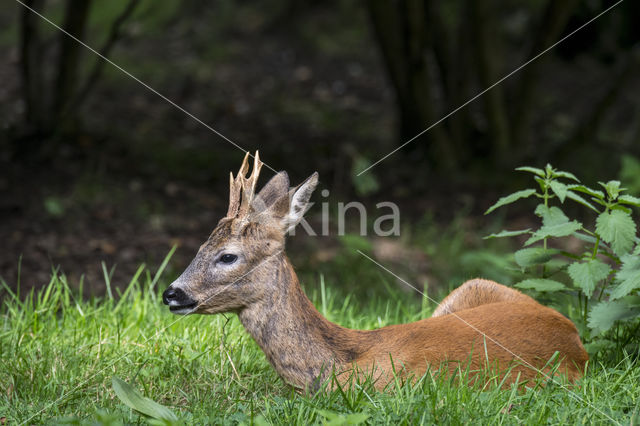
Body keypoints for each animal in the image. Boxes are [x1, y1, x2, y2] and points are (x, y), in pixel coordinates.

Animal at [162, 153, 588, 392]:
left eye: (227, 256)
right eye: (199, 247)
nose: (172, 293)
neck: (336, 364)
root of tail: (573, 336)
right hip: (471, 288)